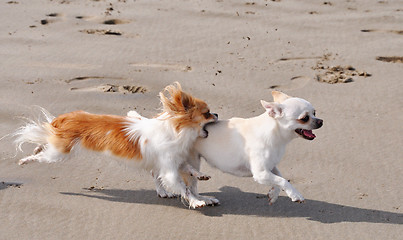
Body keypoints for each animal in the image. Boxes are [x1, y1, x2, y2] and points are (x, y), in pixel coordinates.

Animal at [163, 91, 324, 205]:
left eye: (315, 113)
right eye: (304, 118)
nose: (321, 121)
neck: (275, 134)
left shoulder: (270, 166)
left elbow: (280, 178)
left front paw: (273, 194)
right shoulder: (260, 173)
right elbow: (283, 180)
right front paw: (296, 195)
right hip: (192, 161)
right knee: (190, 186)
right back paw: (200, 200)